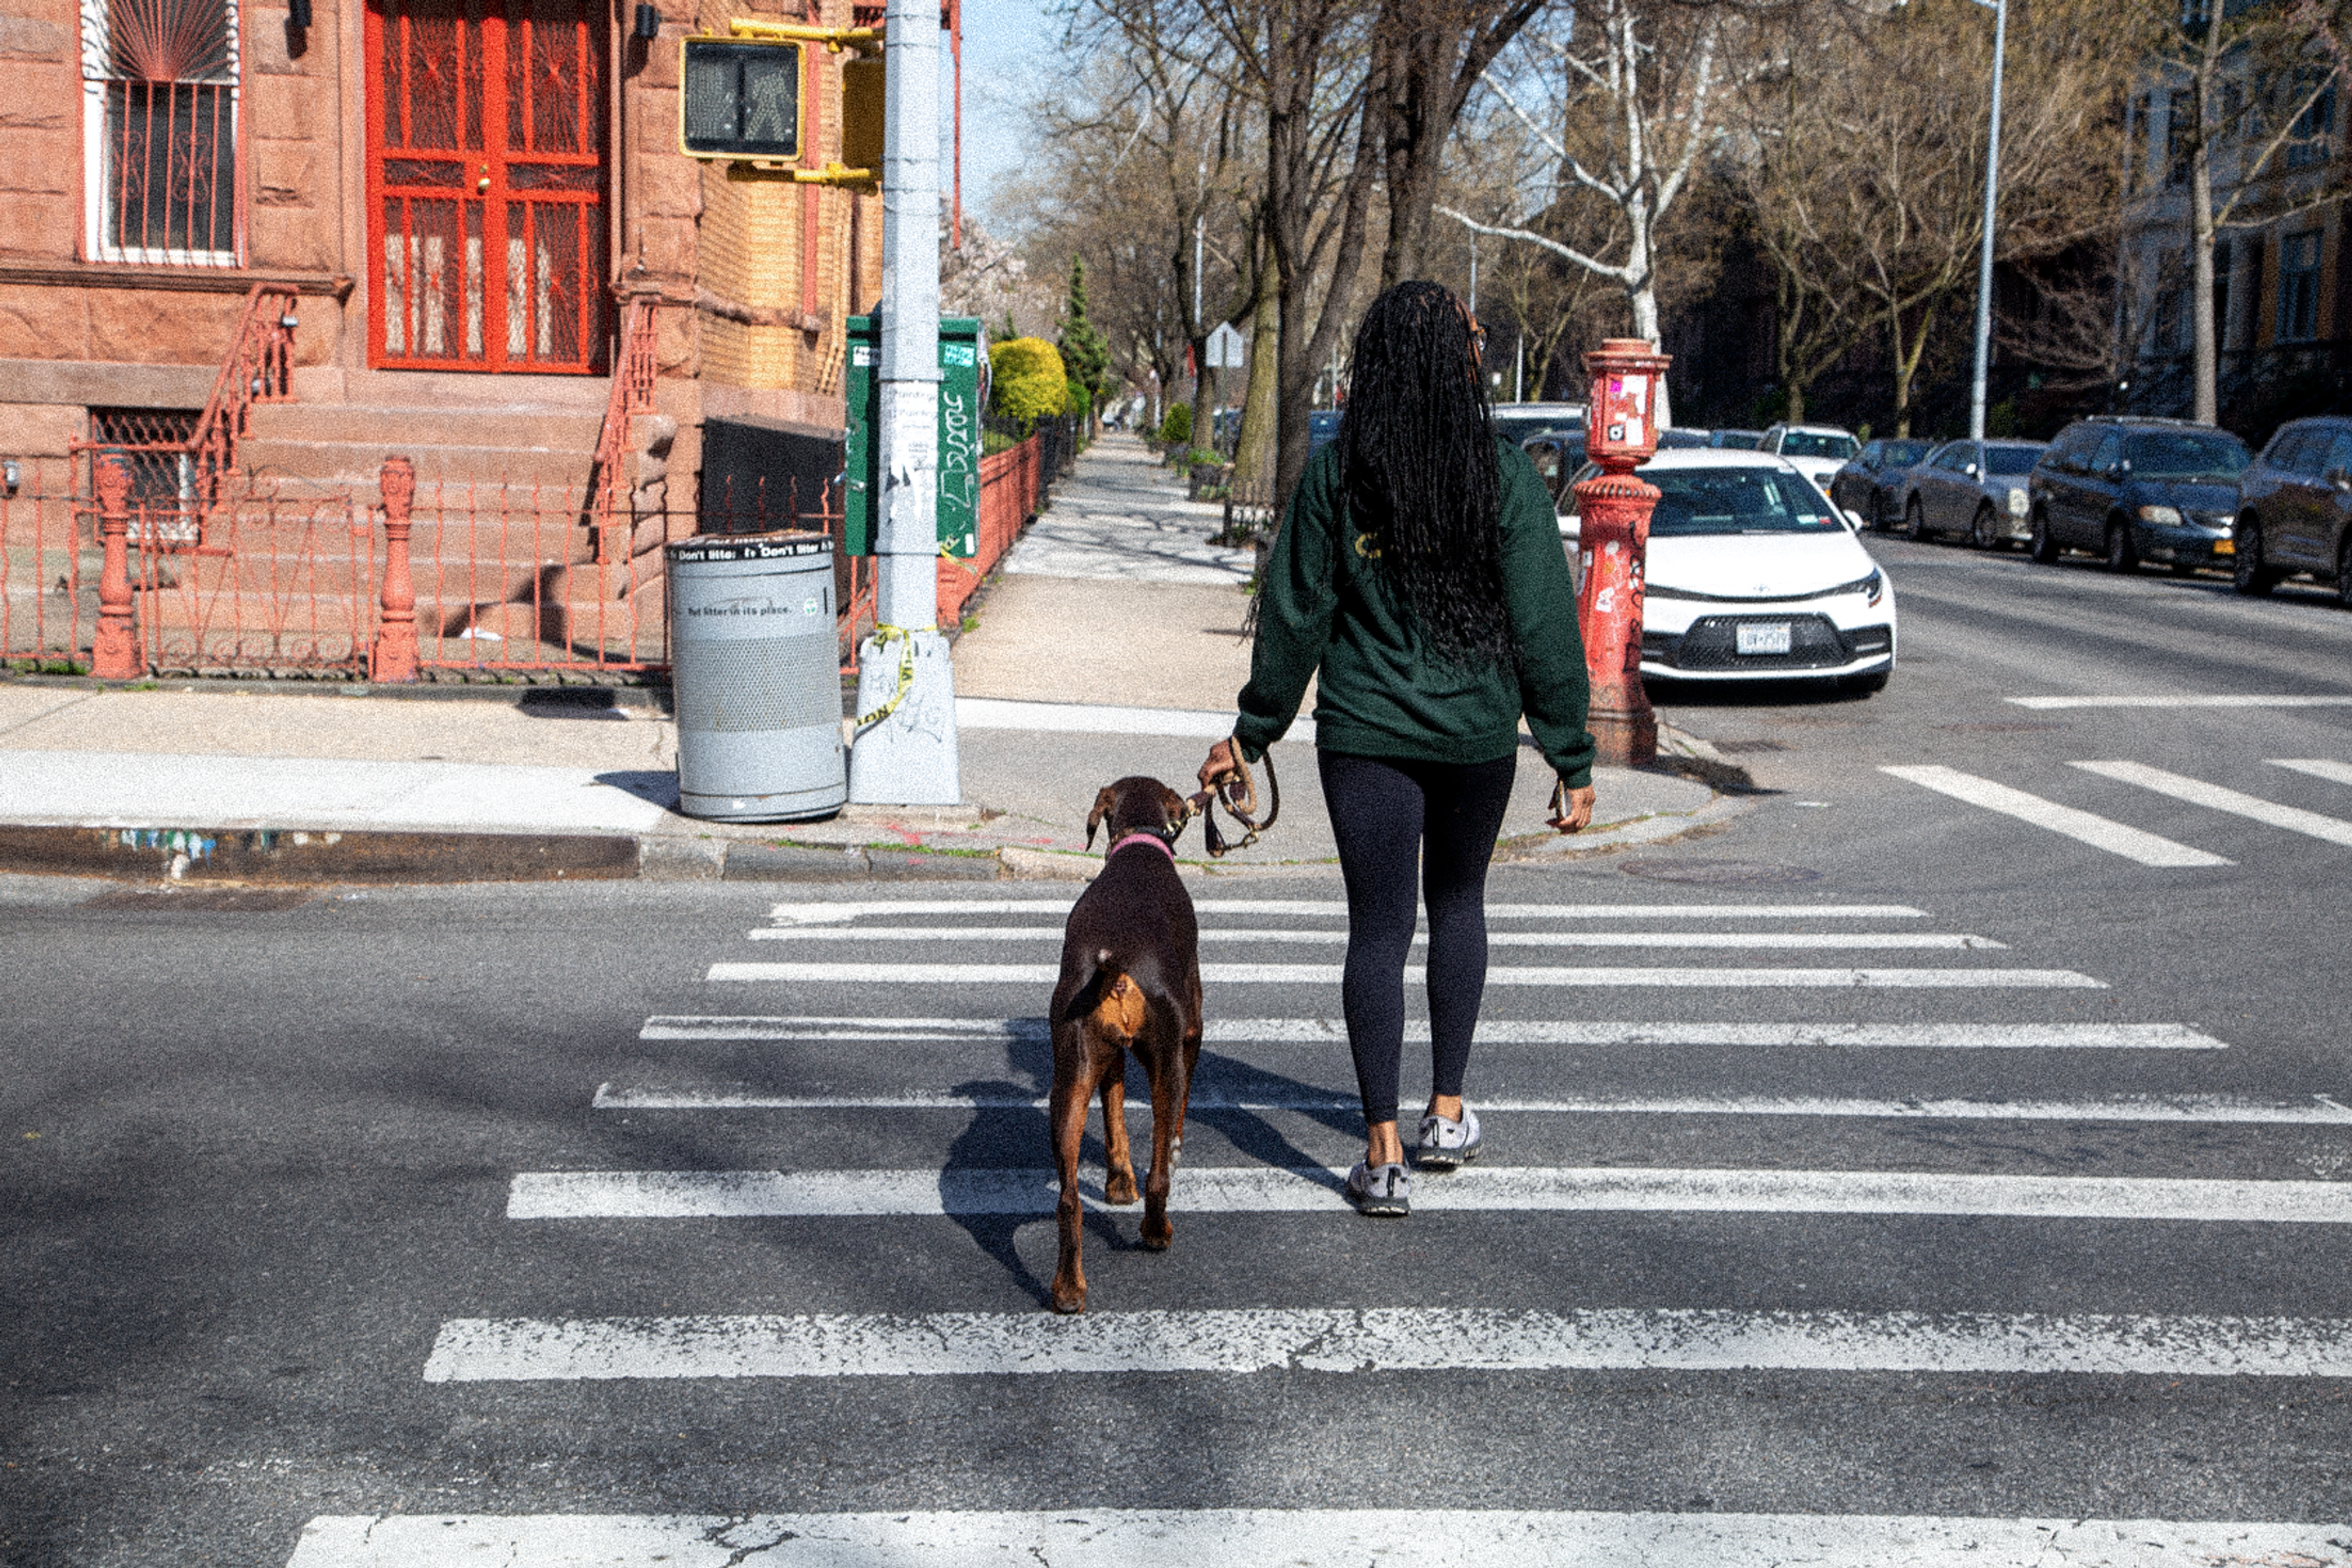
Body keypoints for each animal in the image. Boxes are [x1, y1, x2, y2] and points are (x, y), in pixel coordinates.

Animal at [1049, 780, 1204, 1316]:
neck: (1139, 843)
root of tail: (1115, 968)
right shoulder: (1190, 1033)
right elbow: (1174, 1126)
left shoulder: (1108, 1056)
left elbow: (1114, 1114)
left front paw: (1119, 1184)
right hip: (1167, 1055)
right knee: (1160, 1176)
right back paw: (1157, 1231)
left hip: (1070, 1075)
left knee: (1069, 1200)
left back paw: (1068, 1289)